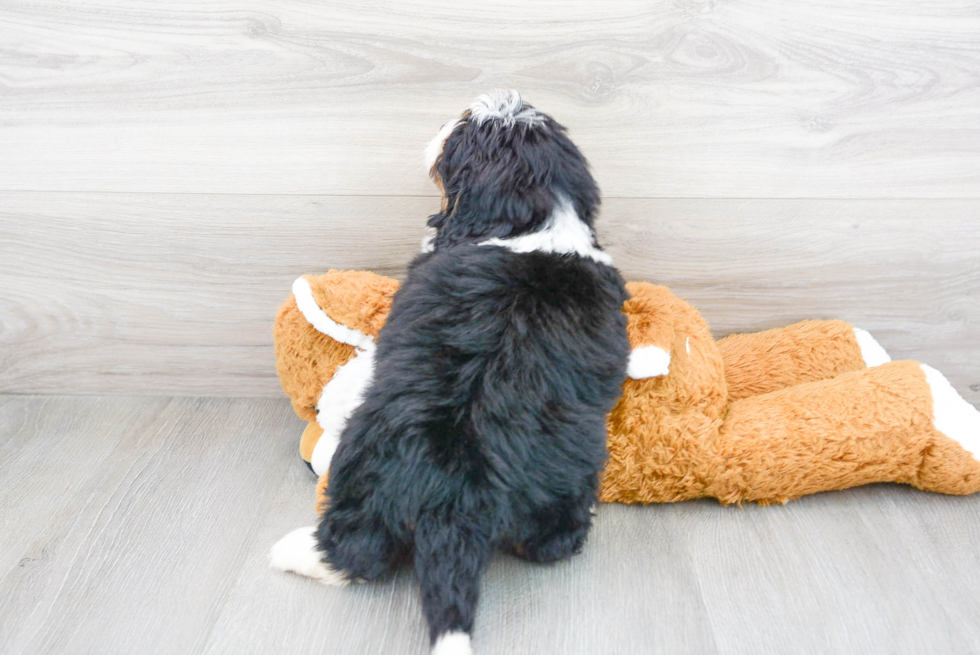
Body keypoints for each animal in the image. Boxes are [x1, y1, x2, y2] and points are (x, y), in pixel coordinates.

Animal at [272, 91, 632, 655]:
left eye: (461, 129)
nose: (447, 118)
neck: (535, 221)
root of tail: (454, 490)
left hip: (367, 468)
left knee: (356, 549)